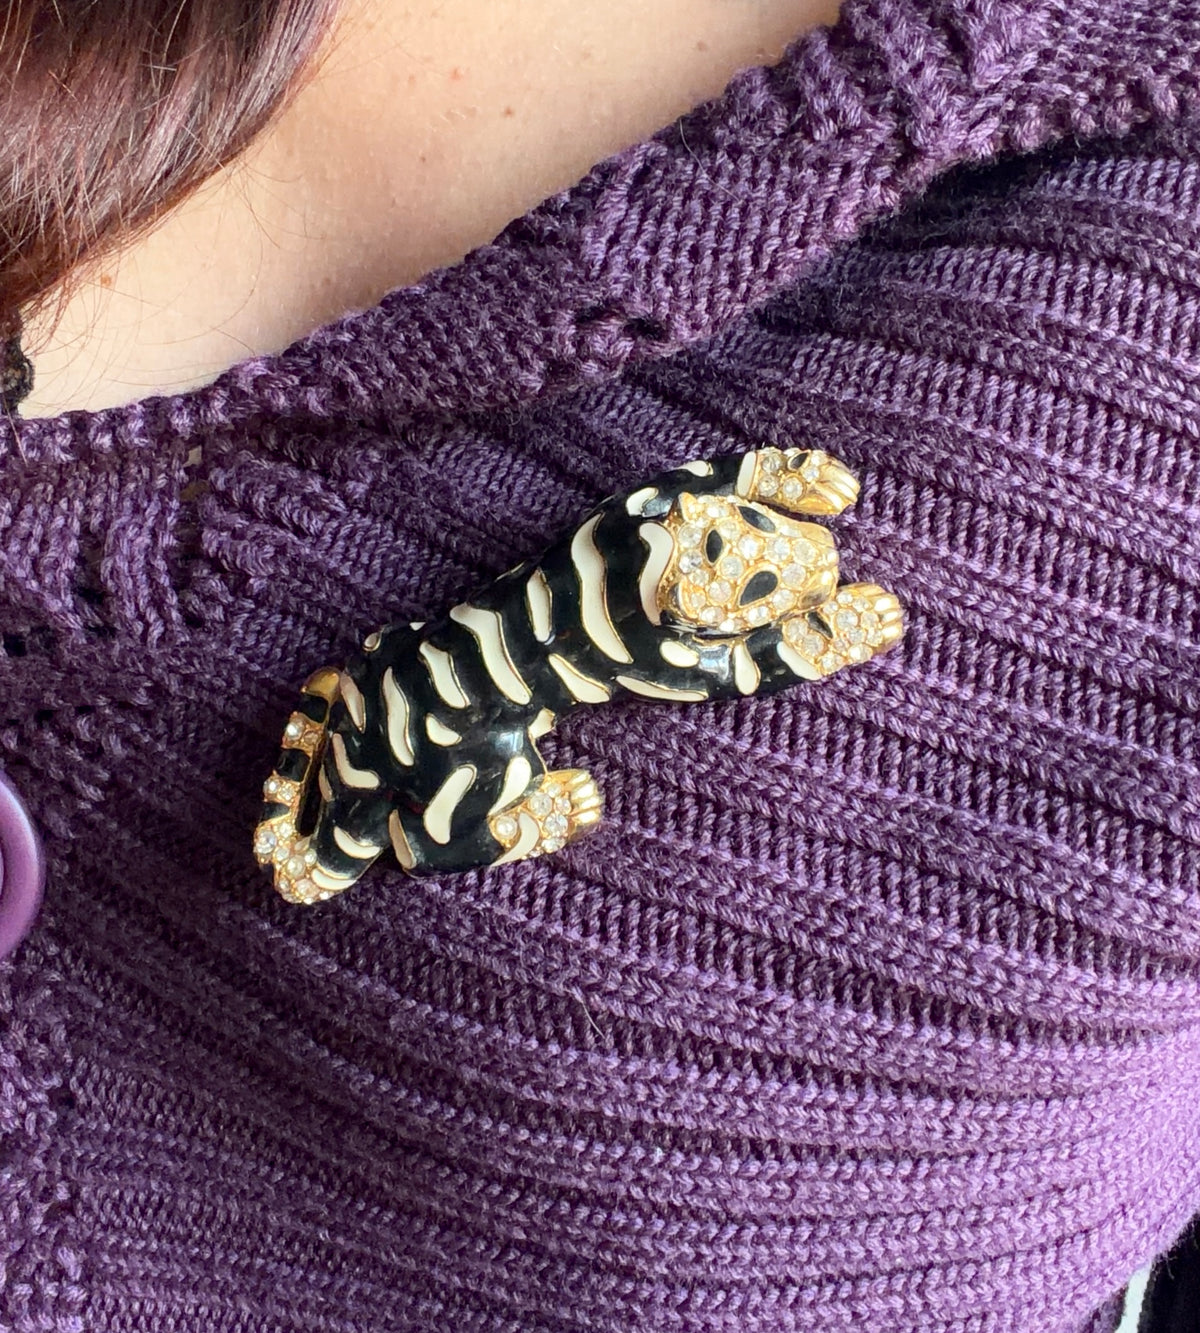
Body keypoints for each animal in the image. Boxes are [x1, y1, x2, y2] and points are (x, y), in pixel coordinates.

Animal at [253, 445, 904, 902]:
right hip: (483, 763)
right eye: (757, 588)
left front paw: (812, 475)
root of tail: (350, 779)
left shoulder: (640, 503)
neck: (637, 567)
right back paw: (562, 807)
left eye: (758, 522)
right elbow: (760, 658)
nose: (827, 560)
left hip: (374, 654)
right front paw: (861, 617)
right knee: (421, 847)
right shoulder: (665, 658)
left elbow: (716, 469)